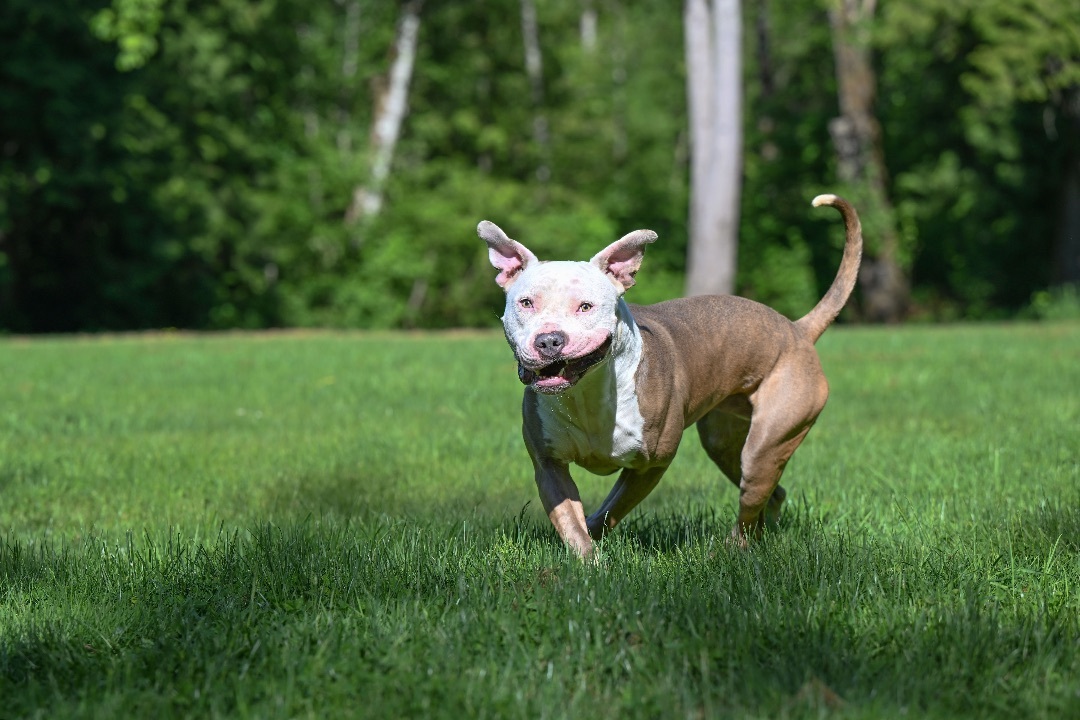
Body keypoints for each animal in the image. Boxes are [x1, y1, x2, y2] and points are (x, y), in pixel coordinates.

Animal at [477, 195, 864, 557]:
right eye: (526, 303)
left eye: (585, 306)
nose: (549, 340)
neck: (587, 391)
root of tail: (797, 329)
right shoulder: (548, 463)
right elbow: (571, 520)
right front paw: (588, 560)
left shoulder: (651, 465)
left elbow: (610, 510)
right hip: (724, 442)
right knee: (770, 493)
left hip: (767, 442)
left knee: (752, 495)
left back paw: (729, 550)